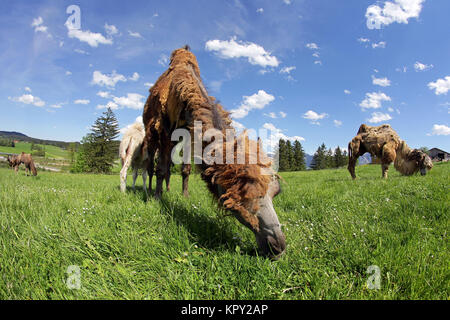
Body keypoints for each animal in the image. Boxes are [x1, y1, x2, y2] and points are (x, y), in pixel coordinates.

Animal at [142, 46, 286, 258]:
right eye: (243, 194)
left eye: (277, 191)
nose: (278, 246)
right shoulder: (164, 131)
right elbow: (159, 169)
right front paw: (157, 199)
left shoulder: (187, 135)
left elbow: (184, 169)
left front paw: (184, 196)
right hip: (151, 133)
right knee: (152, 165)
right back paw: (151, 190)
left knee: (167, 167)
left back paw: (167, 189)